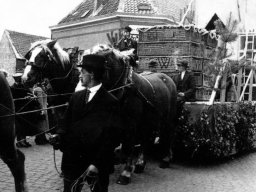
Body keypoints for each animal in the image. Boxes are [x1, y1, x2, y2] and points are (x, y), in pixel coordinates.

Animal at [21, 39, 177, 185]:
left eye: (43, 55)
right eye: (30, 54)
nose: (25, 78)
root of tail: (166, 77)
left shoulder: (131, 124)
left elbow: (128, 147)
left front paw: (125, 173)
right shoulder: (64, 116)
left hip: (166, 119)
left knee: (166, 135)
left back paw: (165, 159)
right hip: (148, 121)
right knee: (147, 139)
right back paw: (140, 164)